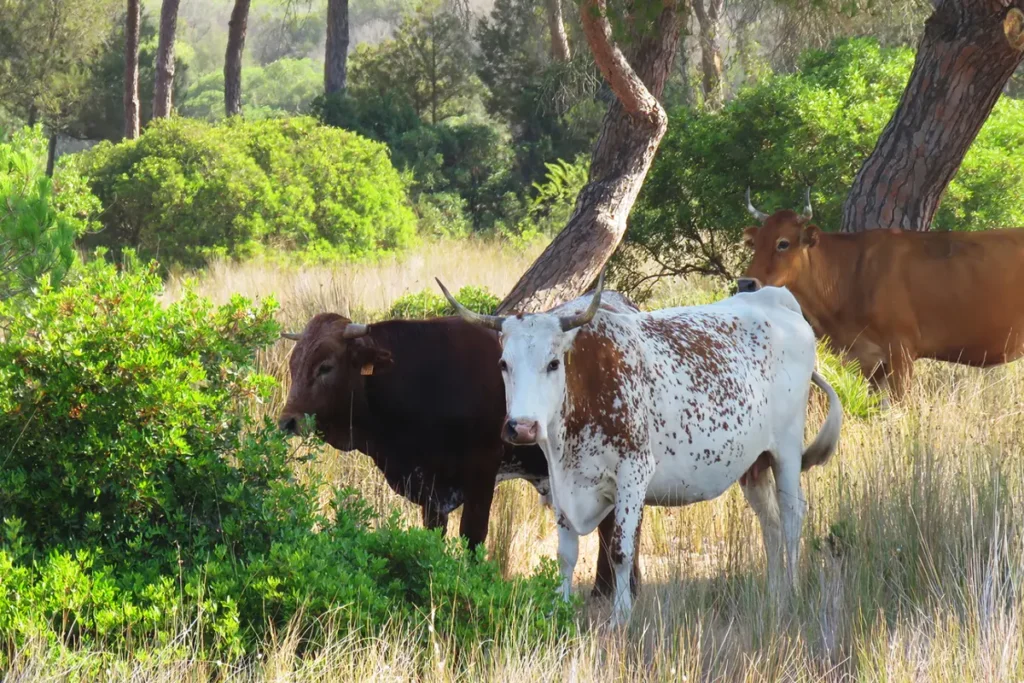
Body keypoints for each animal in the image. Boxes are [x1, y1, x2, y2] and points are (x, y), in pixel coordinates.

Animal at [276, 293, 644, 596]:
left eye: (325, 366)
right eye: (294, 364)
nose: (288, 421)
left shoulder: (482, 472)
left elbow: (473, 535)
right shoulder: (430, 486)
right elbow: (433, 536)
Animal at [438, 273, 843, 625]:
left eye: (553, 363)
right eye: (503, 364)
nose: (522, 426)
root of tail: (776, 298)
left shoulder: (633, 473)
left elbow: (620, 549)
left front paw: (621, 616)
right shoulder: (560, 480)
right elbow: (565, 554)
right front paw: (559, 610)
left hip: (786, 452)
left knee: (791, 518)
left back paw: (791, 591)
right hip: (754, 464)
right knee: (770, 523)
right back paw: (774, 593)